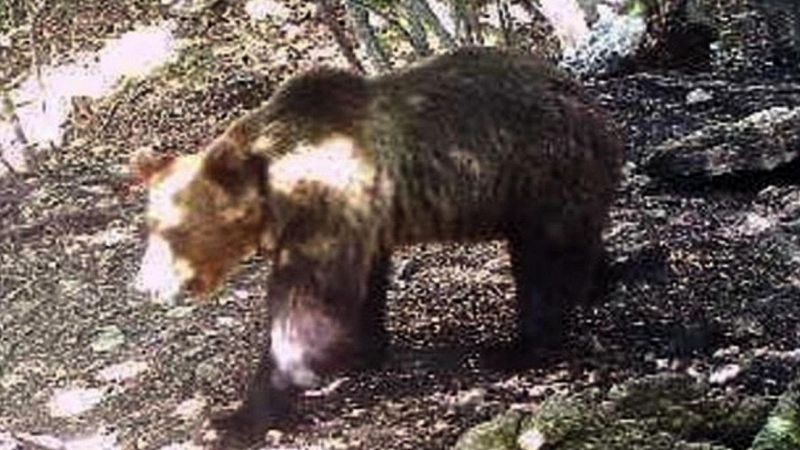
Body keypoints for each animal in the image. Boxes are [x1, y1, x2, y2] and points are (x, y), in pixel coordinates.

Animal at [132, 46, 623, 442]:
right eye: (150, 226)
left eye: (173, 231)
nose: (146, 286)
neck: (277, 191)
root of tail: (590, 103)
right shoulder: (362, 221)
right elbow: (362, 287)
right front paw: (361, 350)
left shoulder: (325, 207)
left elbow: (306, 306)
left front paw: (243, 412)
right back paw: (604, 280)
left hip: (536, 174)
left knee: (546, 264)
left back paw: (516, 348)